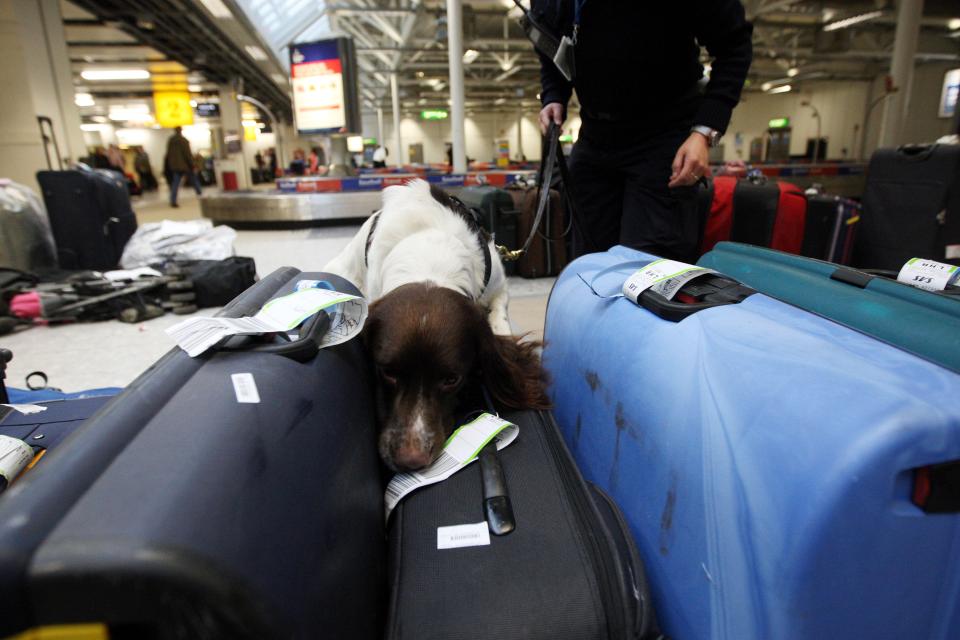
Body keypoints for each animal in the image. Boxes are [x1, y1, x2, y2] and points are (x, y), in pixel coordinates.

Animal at [322, 179, 548, 470]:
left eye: (452, 379)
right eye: (388, 372)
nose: (410, 459)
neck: (429, 258)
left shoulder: (499, 285)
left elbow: (500, 319)